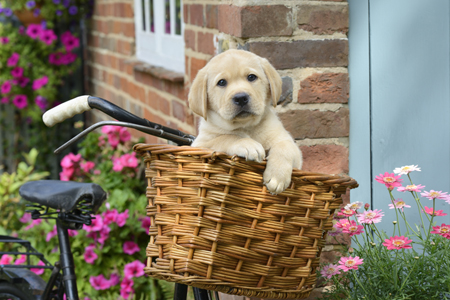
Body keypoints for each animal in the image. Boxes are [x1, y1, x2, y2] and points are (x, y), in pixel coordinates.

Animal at [187, 49, 302, 195]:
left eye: (251, 77)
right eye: (222, 82)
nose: (241, 98)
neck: (246, 126)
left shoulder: (292, 148)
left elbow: (285, 147)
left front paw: (277, 177)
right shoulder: (200, 145)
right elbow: (227, 137)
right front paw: (248, 144)